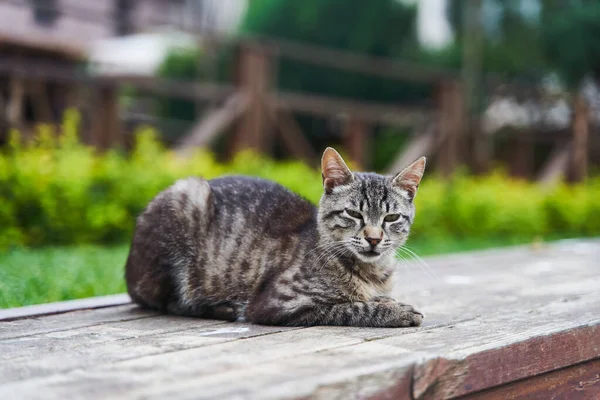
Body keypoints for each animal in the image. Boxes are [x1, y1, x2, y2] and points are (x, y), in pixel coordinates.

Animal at [125, 148, 426, 326]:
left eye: (391, 218)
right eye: (353, 213)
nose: (374, 239)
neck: (372, 272)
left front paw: (386, 301)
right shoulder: (277, 303)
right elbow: (348, 307)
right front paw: (396, 312)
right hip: (186, 199)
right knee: (170, 301)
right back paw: (223, 308)